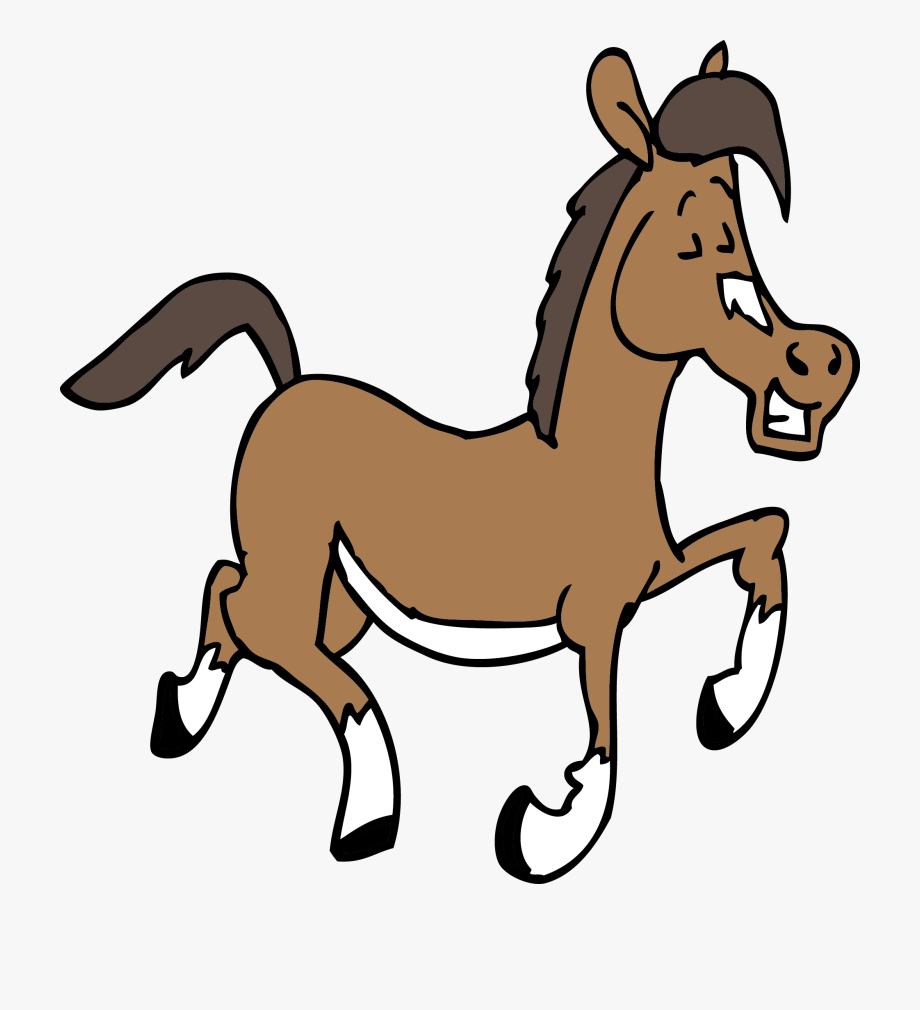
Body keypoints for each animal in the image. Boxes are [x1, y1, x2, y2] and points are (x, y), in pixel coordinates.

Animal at [61, 42, 859, 883]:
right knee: (271, 631)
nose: (823, 363)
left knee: (234, 595)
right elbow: (605, 733)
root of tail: (289, 387)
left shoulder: (653, 572)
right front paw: (545, 833)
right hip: (298, 564)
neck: (587, 462)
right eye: (696, 243)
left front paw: (727, 704)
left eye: (746, 236)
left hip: (336, 594)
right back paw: (366, 812)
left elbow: (764, 534)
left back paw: (182, 716)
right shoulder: (594, 616)